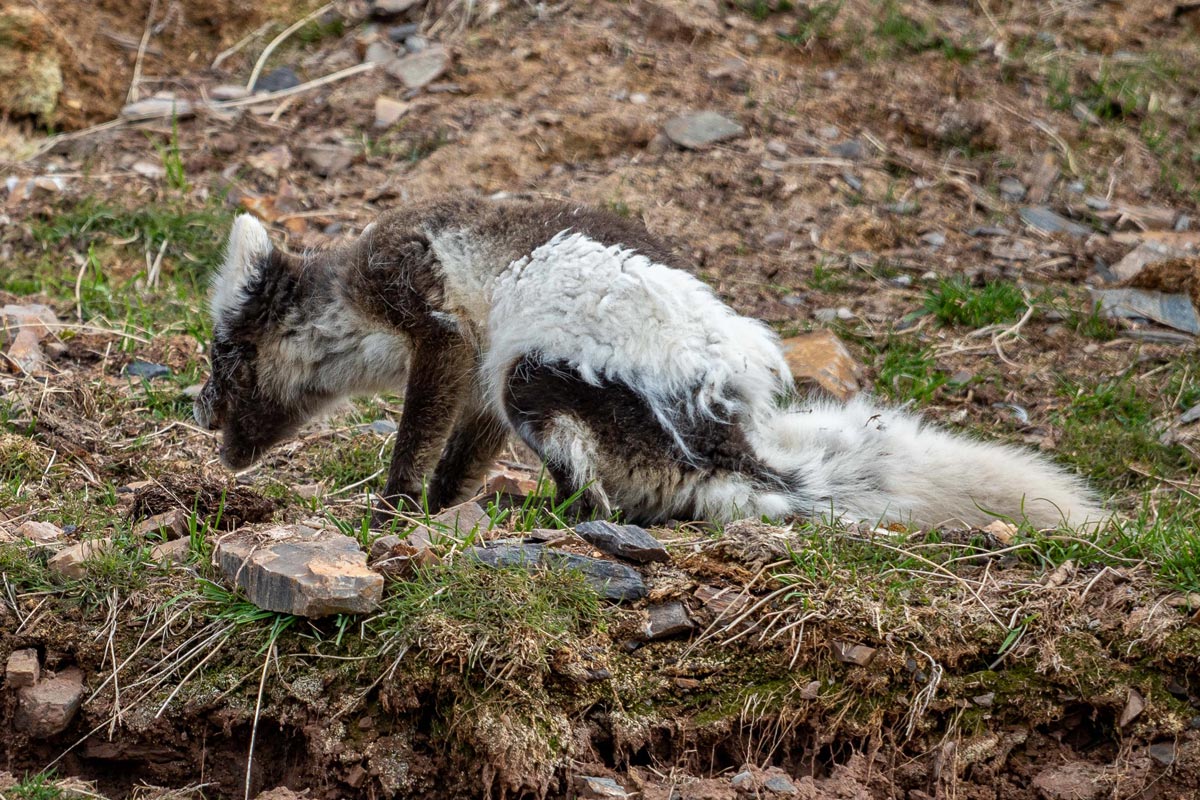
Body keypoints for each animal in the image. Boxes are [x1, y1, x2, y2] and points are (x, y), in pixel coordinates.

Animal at [193, 196, 1103, 530]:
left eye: (227, 353)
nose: (196, 408)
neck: (351, 293)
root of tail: (732, 443)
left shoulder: (439, 325)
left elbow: (419, 434)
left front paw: (391, 512)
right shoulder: (477, 380)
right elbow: (463, 455)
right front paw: (442, 508)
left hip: (537, 376)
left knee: (589, 482)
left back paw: (557, 516)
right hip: (519, 378)